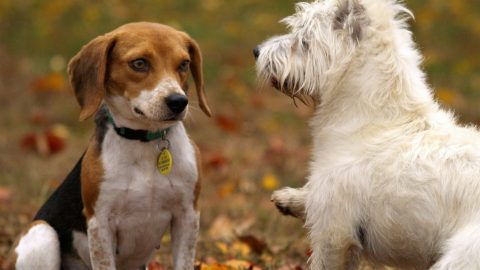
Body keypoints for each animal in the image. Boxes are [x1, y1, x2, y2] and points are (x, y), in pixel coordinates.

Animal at [3, 21, 210, 270]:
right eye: (139, 63)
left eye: (184, 64)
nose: (178, 102)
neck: (144, 141)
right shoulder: (100, 223)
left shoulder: (187, 216)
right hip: (41, 233)